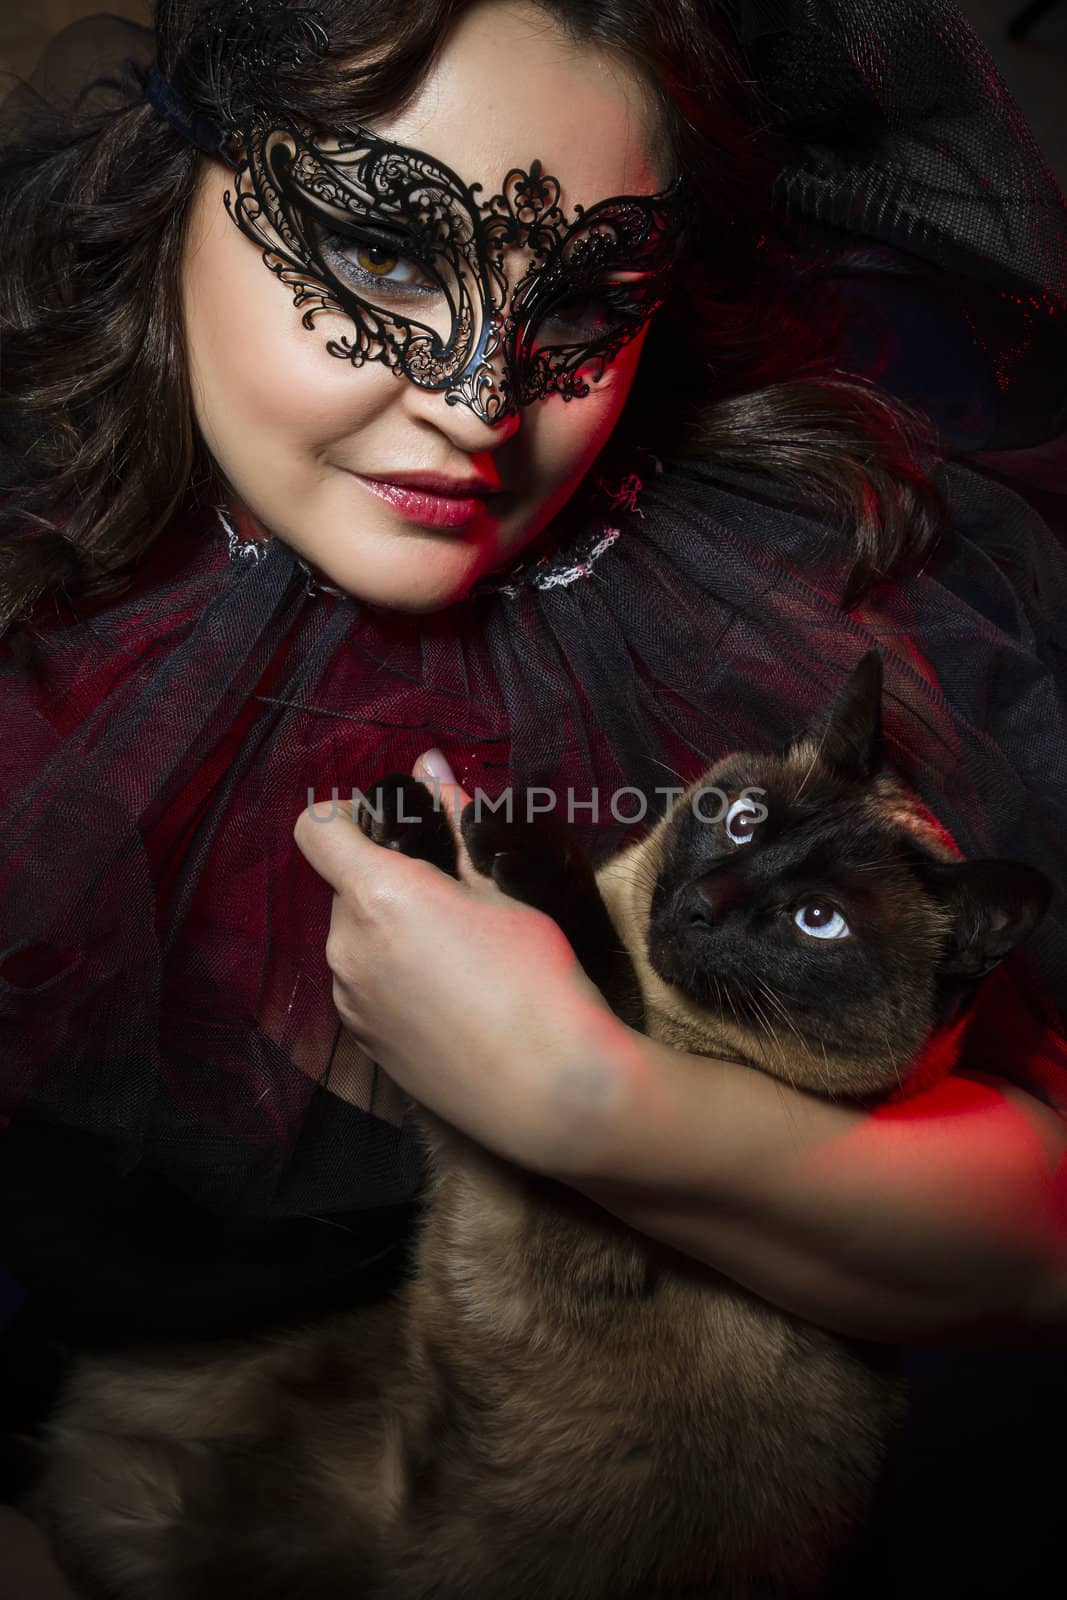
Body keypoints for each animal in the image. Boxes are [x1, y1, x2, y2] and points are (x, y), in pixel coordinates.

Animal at [27, 649, 1049, 1600]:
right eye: (740, 820)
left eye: (815, 921)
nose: (700, 903)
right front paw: (409, 811)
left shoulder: (558, 1163)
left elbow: (589, 955)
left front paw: (511, 843)